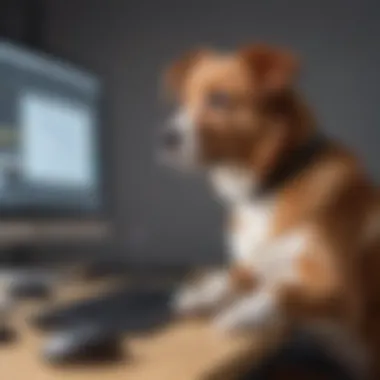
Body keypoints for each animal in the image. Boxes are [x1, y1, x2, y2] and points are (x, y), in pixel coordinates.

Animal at [159, 43, 380, 378]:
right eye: (183, 101)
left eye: (219, 99)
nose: (165, 138)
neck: (270, 187)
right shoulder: (260, 263)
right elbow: (234, 276)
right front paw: (202, 293)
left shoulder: (343, 293)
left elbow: (283, 291)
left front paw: (244, 312)